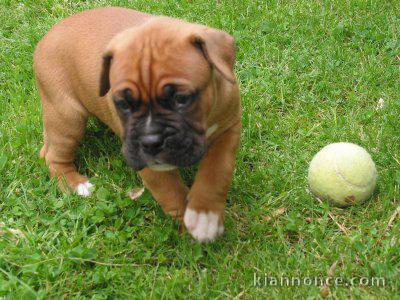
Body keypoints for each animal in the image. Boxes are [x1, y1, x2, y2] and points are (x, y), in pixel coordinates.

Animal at [33, 6, 241, 241]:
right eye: (123, 104)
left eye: (181, 98)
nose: (150, 141)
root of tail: (47, 37)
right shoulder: (148, 163)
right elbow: (171, 191)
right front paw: (187, 226)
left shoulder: (229, 128)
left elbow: (216, 172)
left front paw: (205, 214)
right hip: (67, 116)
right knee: (54, 157)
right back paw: (76, 185)